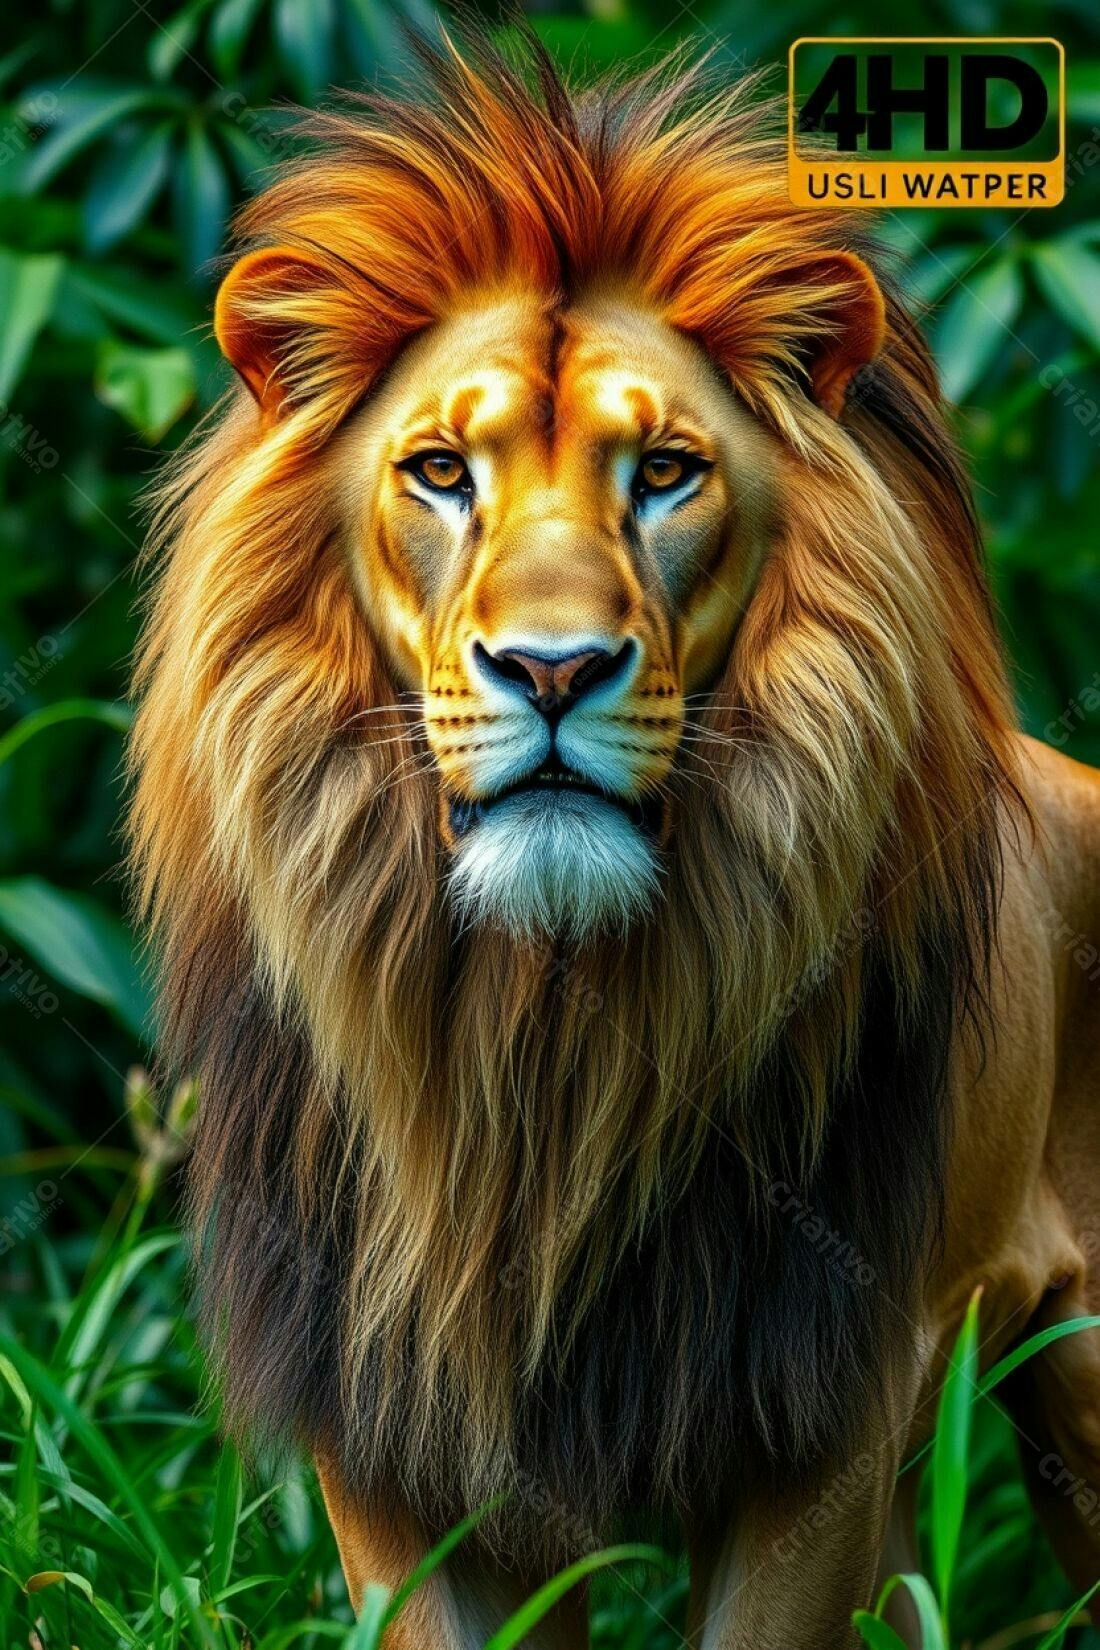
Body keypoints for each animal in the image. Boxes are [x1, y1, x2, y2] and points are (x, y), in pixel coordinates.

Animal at [129, 29, 1100, 1650]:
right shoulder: (395, 1433)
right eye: (440, 472)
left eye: (663, 473)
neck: (540, 1041)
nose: (554, 668)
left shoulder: (817, 1416)